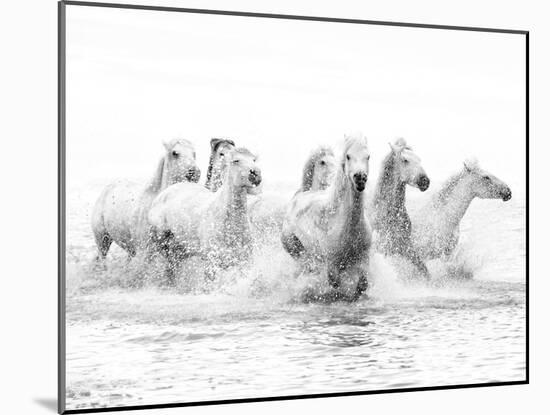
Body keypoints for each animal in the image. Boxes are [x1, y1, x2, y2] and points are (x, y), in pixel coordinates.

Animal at [148, 147, 262, 282]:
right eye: (236, 161)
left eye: (254, 160)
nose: (256, 174)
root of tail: (164, 193)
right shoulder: (211, 264)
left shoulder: (244, 263)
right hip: (160, 242)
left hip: (179, 251)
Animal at [280, 135, 376, 300]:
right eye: (348, 156)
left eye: (368, 156)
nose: (360, 178)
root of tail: (298, 197)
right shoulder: (332, 262)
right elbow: (335, 282)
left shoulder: (364, 257)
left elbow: (362, 284)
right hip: (295, 248)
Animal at [368, 139, 434, 280]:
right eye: (405, 160)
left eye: (419, 159)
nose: (425, 181)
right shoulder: (384, 250)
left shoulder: (405, 247)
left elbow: (424, 270)